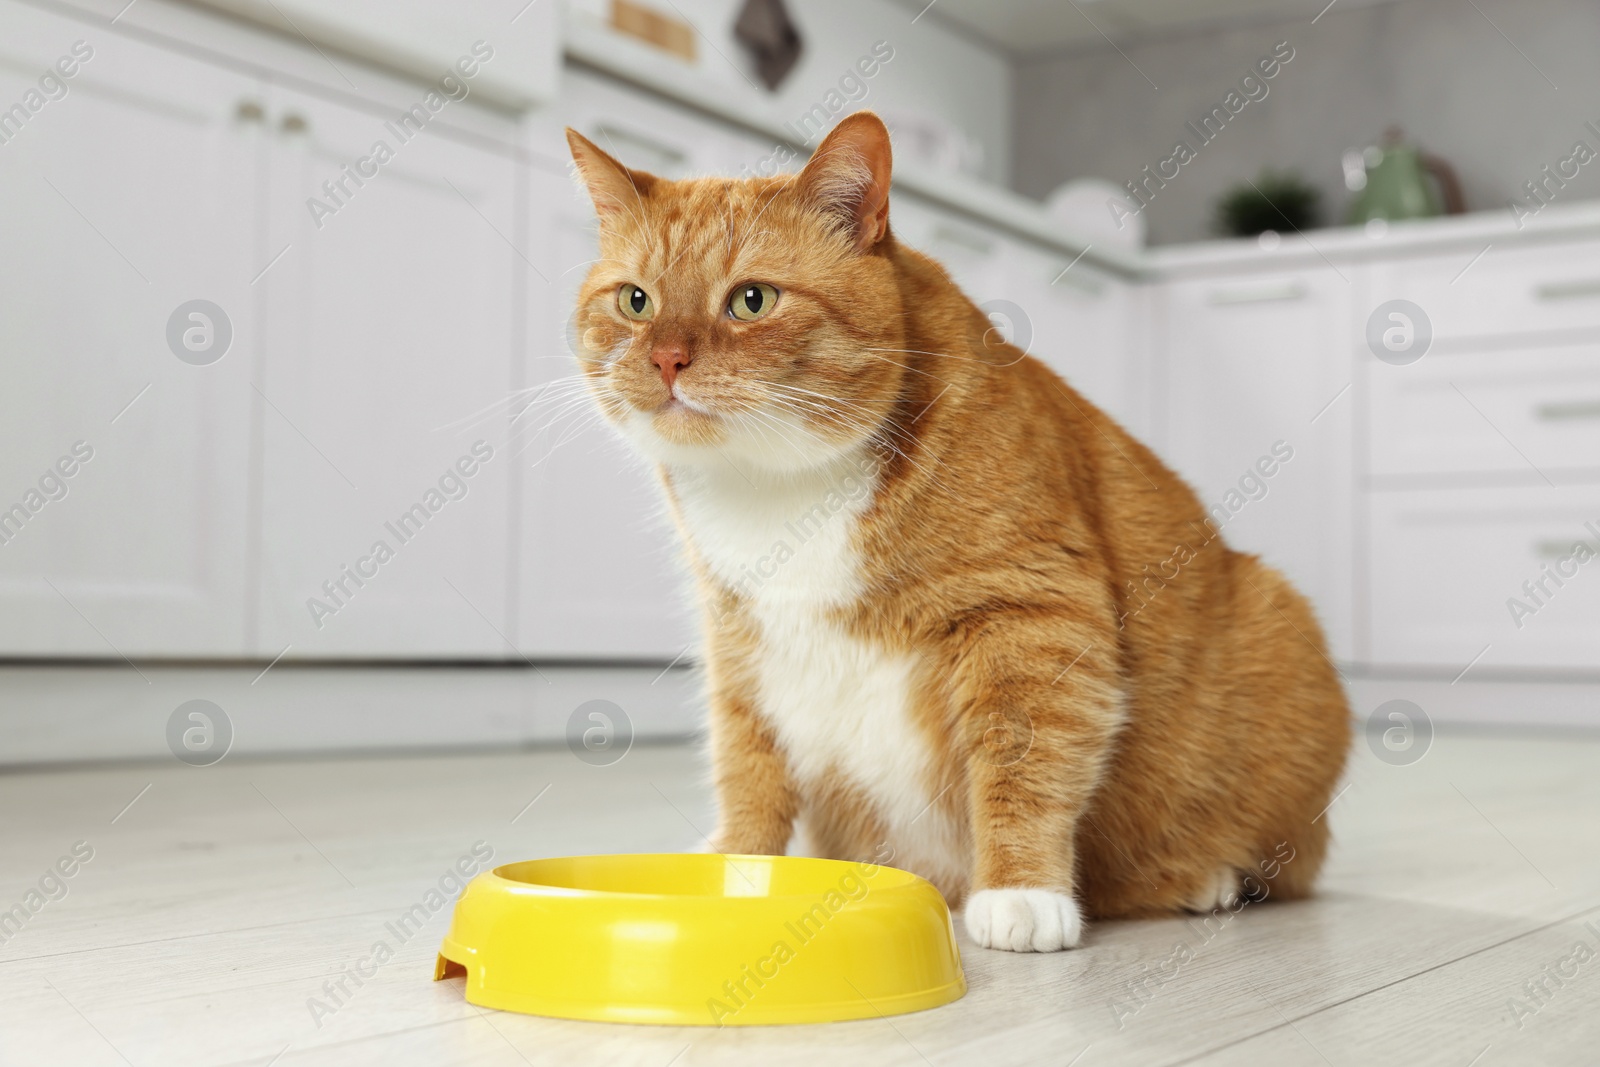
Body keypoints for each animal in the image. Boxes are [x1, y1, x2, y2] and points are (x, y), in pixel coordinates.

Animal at [563, 115, 1350, 953]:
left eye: (751, 300)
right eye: (636, 301)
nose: (665, 358)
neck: (780, 491)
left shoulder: (1032, 615)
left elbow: (1024, 756)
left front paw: (1022, 889)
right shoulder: (741, 641)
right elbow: (747, 766)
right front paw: (735, 873)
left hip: (1279, 624)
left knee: (1270, 863)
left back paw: (1209, 880)